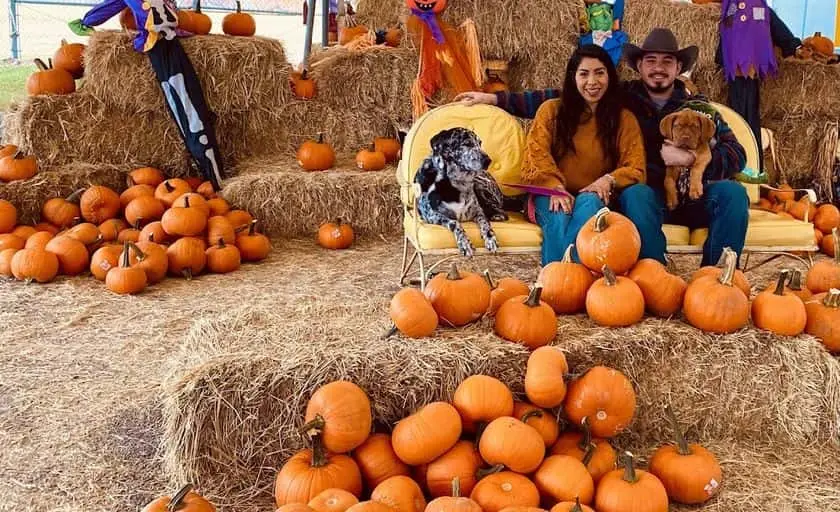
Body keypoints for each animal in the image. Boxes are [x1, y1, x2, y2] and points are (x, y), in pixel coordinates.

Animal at [414, 127, 506, 256]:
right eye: (467, 143)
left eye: (480, 143)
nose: (488, 160)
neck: (456, 183)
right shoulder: (431, 215)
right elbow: (455, 223)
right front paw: (464, 243)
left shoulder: (477, 211)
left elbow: (485, 221)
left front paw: (490, 237)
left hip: (480, 184)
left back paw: (496, 215)